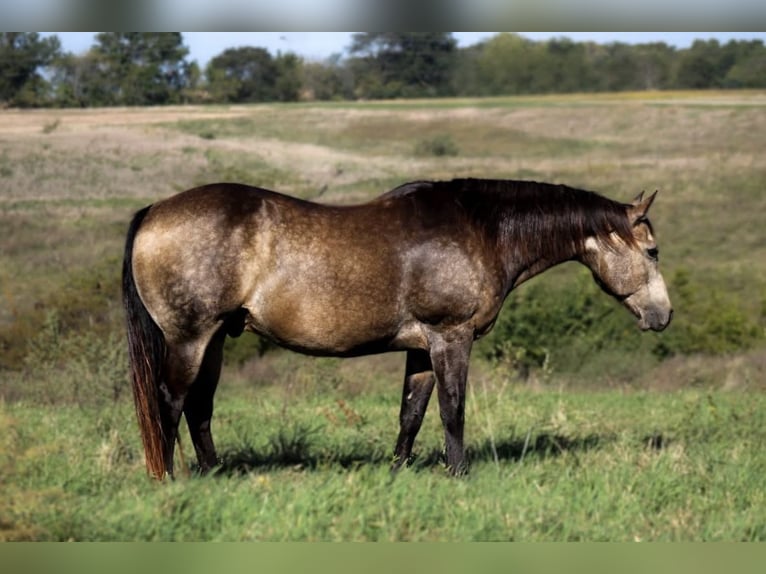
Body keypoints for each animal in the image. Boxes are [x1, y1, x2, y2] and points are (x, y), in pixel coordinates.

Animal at [122, 178, 672, 479]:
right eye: (652, 251)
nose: (662, 316)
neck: (480, 229)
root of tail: (154, 211)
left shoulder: (422, 346)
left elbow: (412, 411)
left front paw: (399, 470)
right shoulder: (451, 336)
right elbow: (453, 408)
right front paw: (459, 473)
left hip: (214, 338)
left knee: (199, 407)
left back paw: (214, 472)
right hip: (190, 338)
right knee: (170, 402)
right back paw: (169, 478)